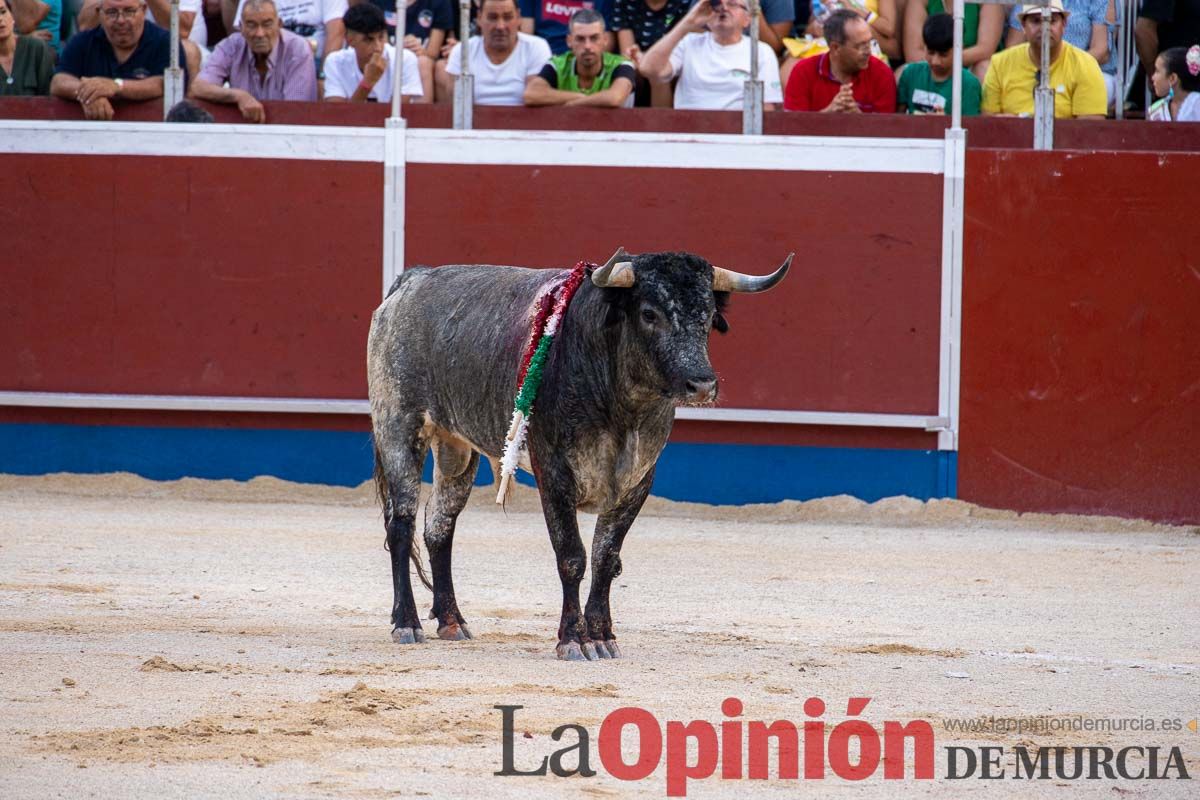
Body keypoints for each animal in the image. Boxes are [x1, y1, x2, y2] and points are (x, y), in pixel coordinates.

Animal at [369, 250, 792, 662]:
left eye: (707, 315)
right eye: (649, 313)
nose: (702, 384)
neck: (623, 406)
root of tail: (413, 279)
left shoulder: (639, 480)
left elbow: (607, 557)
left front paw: (603, 637)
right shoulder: (554, 473)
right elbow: (572, 555)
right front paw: (573, 640)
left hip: (456, 447)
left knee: (440, 525)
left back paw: (452, 621)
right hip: (398, 426)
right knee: (401, 523)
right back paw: (406, 623)